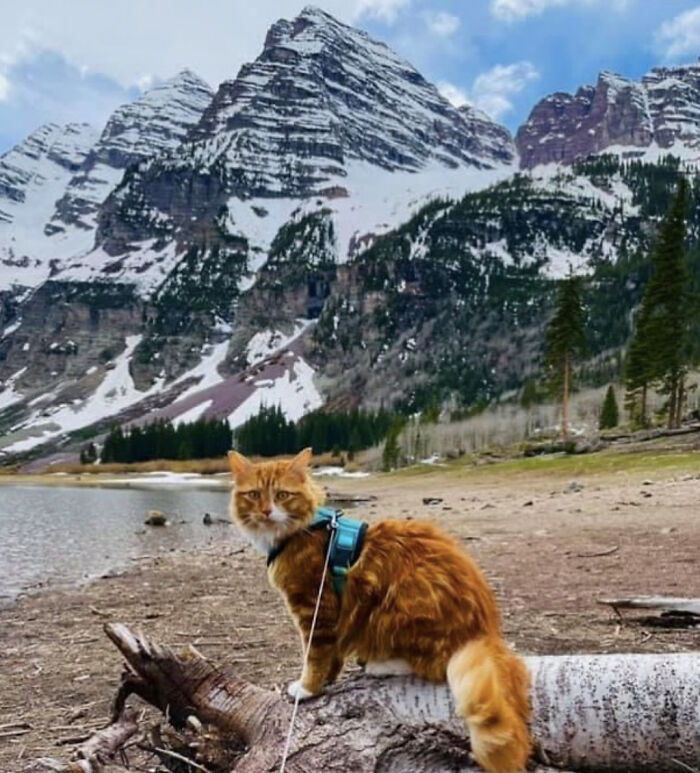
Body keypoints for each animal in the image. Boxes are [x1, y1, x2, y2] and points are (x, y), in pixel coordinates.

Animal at [230, 446, 532, 772]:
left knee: (435, 664)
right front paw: (329, 679)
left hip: (398, 609)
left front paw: (308, 688)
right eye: (254, 495)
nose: (266, 511)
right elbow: (332, 656)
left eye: (282, 495)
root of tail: (487, 629)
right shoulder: (331, 617)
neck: (303, 530)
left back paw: (382, 664)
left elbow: (315, 655)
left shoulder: (315, 607)